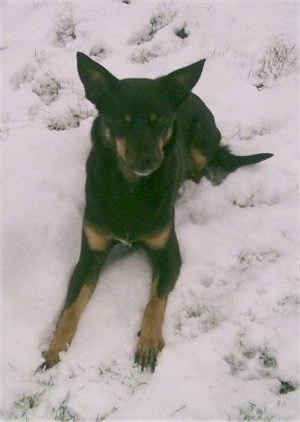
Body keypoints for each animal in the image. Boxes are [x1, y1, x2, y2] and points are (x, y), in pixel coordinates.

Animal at [41, 52, 274, 372]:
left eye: (159, 120)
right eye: (122, 121)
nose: (149, 159)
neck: (129, 189)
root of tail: (188, 94)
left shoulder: (168, 254)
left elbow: (155, 301)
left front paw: (148, 343)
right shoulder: (90, 256)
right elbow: (71, 307)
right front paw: (55, 349)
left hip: (201, 137)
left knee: (200, 166)